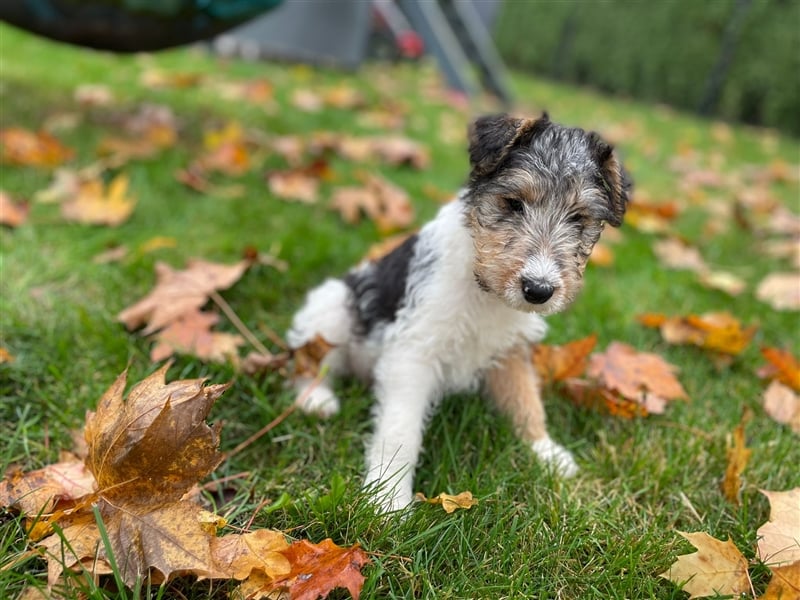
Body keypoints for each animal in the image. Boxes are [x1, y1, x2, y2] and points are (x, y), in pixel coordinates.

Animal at [288, 112, 632, 510]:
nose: (538, 290)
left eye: (578, 218)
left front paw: (546, 454)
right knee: (308, 360)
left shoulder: (510, 350)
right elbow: (400, 432)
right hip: (333, 309)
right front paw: (388, 501)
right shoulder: (413, 355)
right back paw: (317, 399)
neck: (484, 290)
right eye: (513, 203)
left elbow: (526, 401)